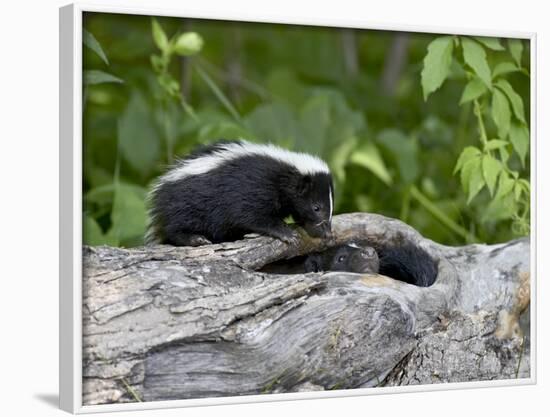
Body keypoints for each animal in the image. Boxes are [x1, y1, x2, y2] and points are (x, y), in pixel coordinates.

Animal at [147, 140, 334, 245]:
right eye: (316, 207)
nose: (328, 233)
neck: (285, 173)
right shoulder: (252, 188)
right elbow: (251, 215)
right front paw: (286, 233)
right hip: (187, 204)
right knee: (177, 227)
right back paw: (195, 239)